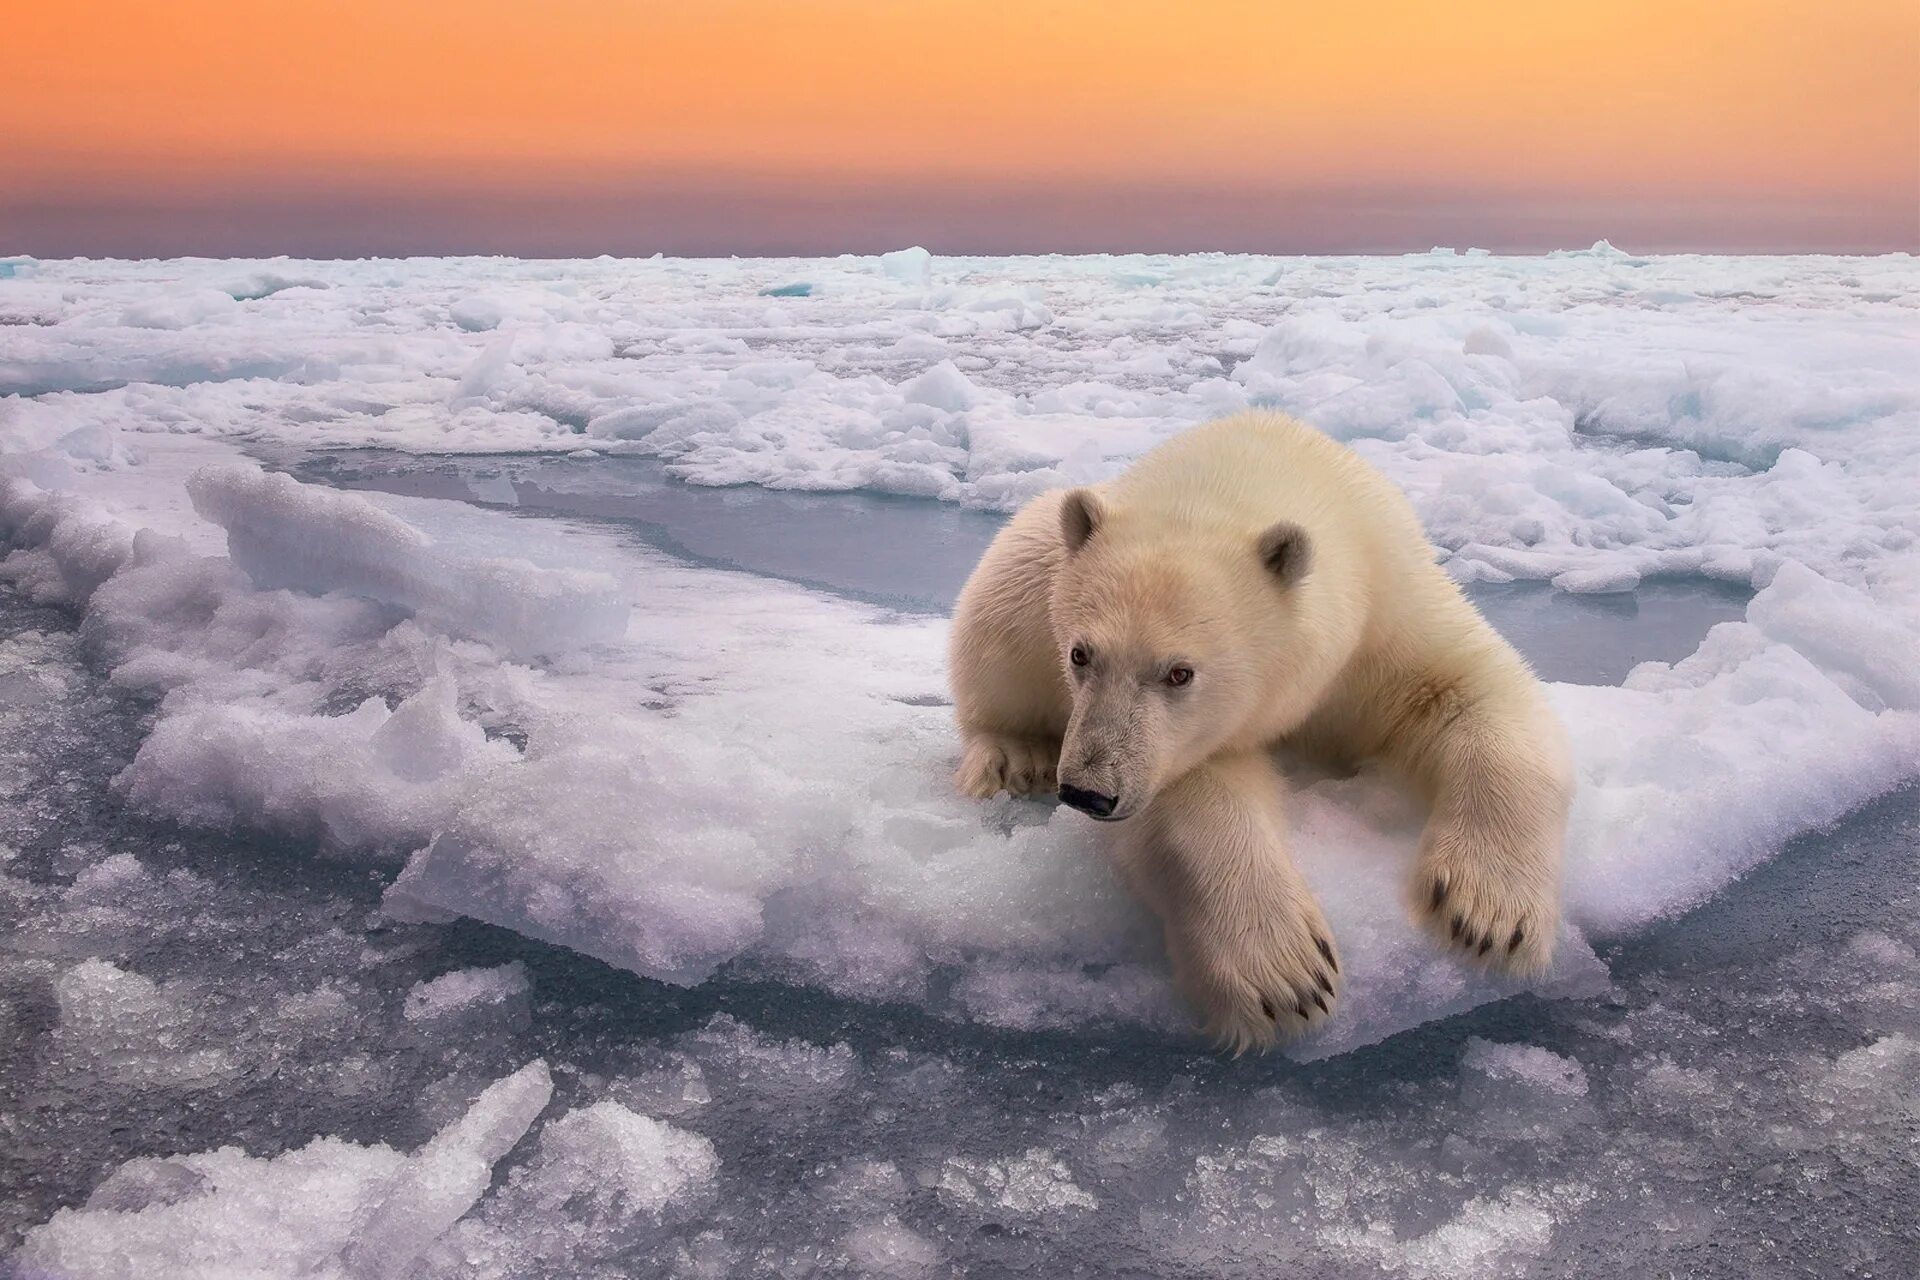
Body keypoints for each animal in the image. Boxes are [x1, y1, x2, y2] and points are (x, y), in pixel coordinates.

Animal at [948, 410, 1574, 1051]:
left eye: (1180, 672)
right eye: (1080, 654)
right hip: (1035, 571)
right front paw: (1286, 972)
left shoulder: (1390, 610)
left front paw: (1487, 914)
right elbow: (1198, 790)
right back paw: (1013, 756)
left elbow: (1471, 693)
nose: (1087, 791)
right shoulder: (1185, 737)